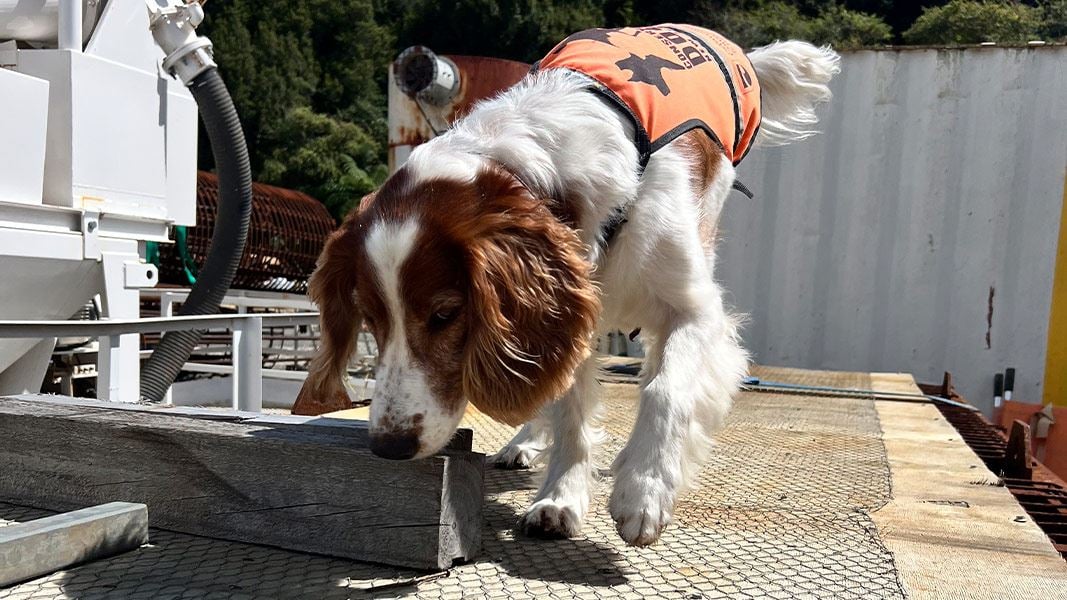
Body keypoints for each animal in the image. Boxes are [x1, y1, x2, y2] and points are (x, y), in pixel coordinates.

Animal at [296, 26, 836, 542]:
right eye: (371, 319)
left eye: (445, 314)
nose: (389, 446)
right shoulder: (570, 308)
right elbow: (569, 407)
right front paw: (561, 497)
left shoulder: (694, 309)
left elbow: (665, 388)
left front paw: (643, 489)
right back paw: (525, 443)